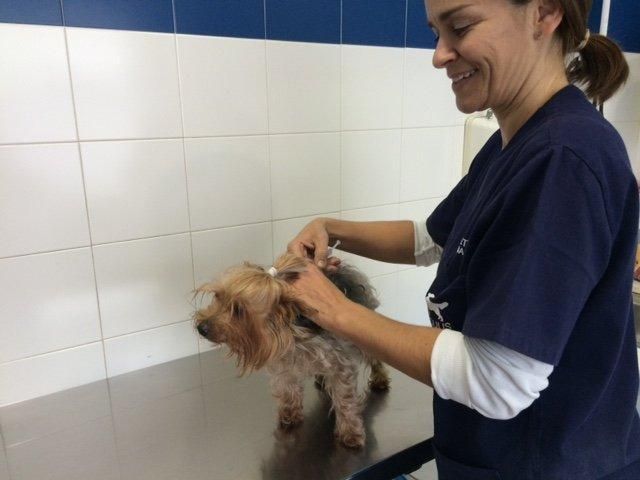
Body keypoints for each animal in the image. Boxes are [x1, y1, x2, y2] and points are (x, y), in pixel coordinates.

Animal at [192, 253, 390, 448]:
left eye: (239, 310)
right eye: (218, 296)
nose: (201, 328)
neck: (292, 334)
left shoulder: (340, 363)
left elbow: (345, 399)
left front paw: (350, 432)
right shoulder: (283, 361)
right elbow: (287, 388)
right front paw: (289, 415)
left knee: (373, 357)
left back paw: (379, 379)